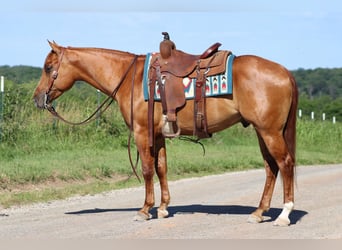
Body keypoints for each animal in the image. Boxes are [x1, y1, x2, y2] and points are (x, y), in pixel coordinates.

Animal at [33, 41, 298, 227]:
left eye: (48, 68)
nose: (37, 98)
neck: (129, 77)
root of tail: (285, 72)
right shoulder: (159, 135)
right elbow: (162, 168)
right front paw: (162, 208)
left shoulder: (142, 133)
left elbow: (147, 169)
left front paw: (145, 210)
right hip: (262, 132)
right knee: (271, 168)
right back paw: (259, 212)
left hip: (270, 132)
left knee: (284, 164)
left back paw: (284, 214)